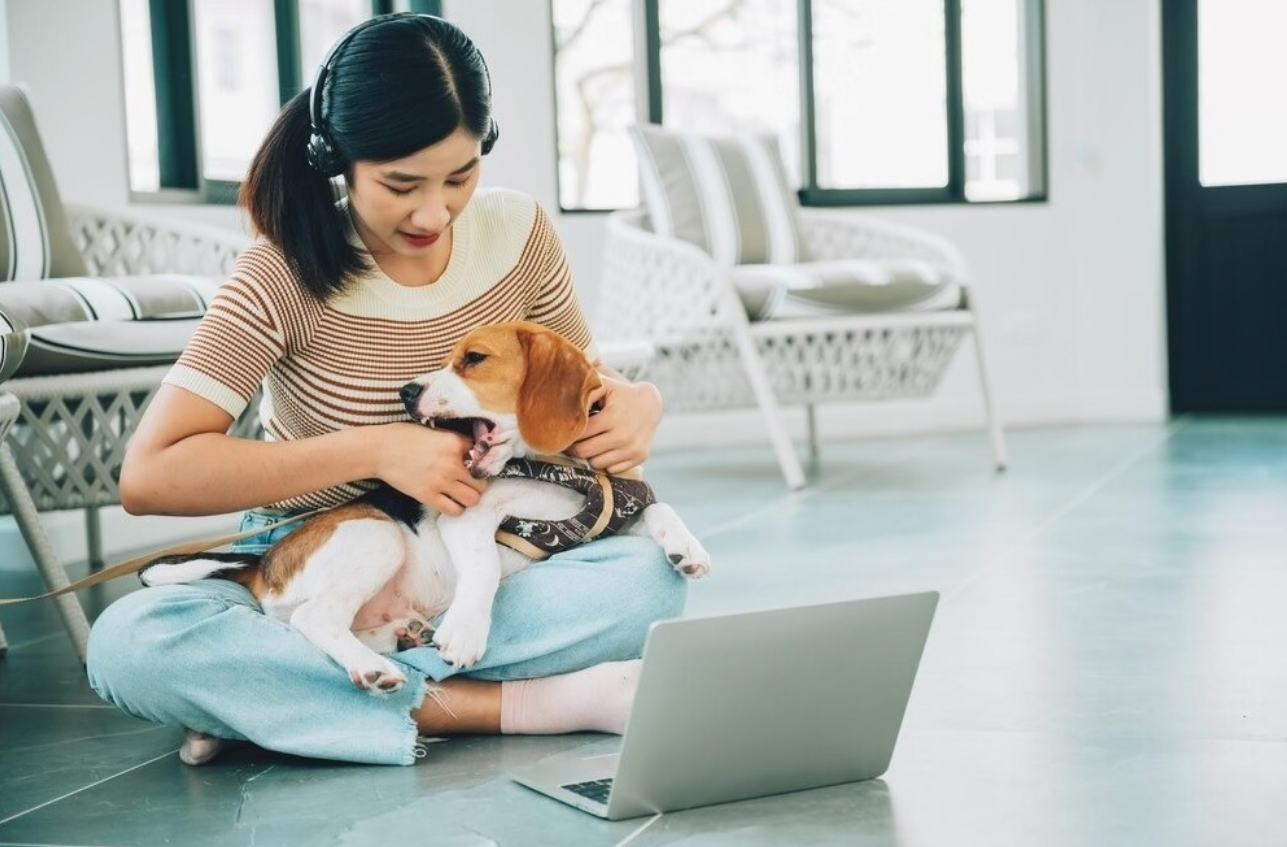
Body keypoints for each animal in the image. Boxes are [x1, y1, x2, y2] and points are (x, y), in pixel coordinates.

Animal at [140, 320, 715, 689]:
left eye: (474, 359)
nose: (407, 391)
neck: (560, 466)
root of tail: (261, 565)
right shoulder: (468, 520)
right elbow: (483, 568)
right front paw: (465, 631)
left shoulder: (612, 515)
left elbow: (659, 509)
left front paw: (688, 549)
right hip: (377, 536)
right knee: (314, 619)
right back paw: (376, 668)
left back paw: (402, 636)